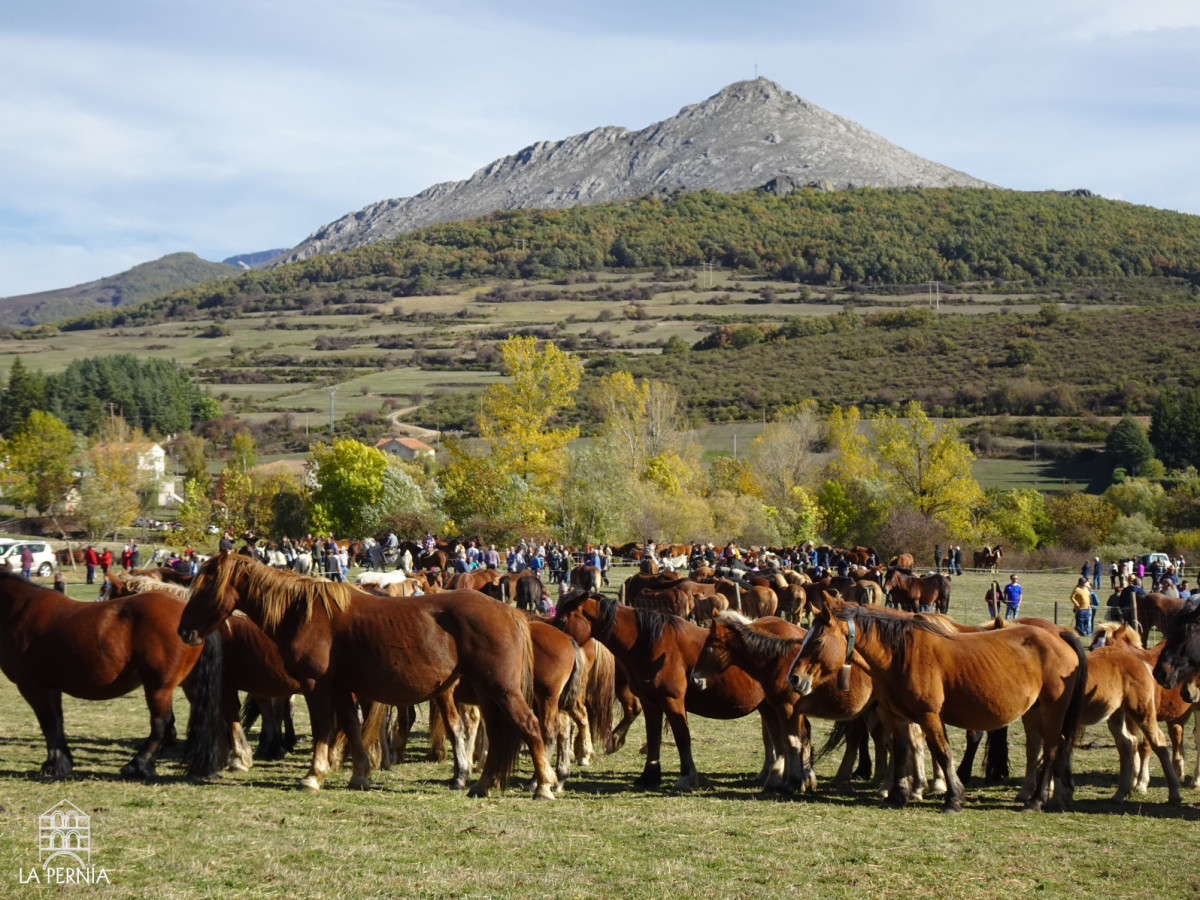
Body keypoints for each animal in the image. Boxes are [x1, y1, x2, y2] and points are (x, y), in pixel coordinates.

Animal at [0, 573, 225, 787]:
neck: (20, 609)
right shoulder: (52, 688)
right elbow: (58, 722)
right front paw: (63, 761)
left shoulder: (33, 687)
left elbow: (49, 724)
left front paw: (55, 765)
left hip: (158, 688)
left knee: (161, 724)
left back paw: (138, 765)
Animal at [175, 554, 554, 801]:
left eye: (206, 588)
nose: (184, 631)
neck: (305, 612)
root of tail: (510, 612)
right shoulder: (342, 689)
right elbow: (352, 729)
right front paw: (359, 774)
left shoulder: (316, 687)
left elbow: (324, 729)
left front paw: (314, 775)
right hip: (488, 694)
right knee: (499, 737)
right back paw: (482, 784)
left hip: (502, 691)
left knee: (530, 727)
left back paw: (544, 786)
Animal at [787, 595, 1089, 816]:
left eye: (818, 639)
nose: (793, 678)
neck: (900, 654)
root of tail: (1059, 635)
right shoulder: (896, 716)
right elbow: (900, 751)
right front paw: (898, 795)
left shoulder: (929, 715)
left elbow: (942, 752)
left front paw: (953, 798)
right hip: (1037, 711)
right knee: (1051, 747)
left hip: (1052, 710)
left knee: (1051, 748)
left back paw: (1036, 800)